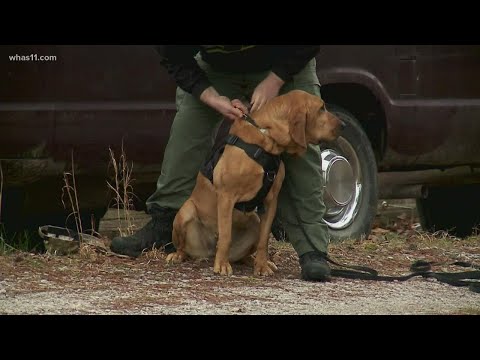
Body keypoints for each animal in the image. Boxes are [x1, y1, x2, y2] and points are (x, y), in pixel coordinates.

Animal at [165, 89, 342, 276]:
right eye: (321, 108)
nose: (343, 125)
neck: (266, 139)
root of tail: (210, 252)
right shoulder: (226, 196)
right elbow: (226, 236)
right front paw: (222, 265)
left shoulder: (271, 201)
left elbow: (264, 240)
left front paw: (262, 265)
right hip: (186, 212)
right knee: (184, 247)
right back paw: (178, 255)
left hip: (255, 222)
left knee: (244, 255)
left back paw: (254, 261)